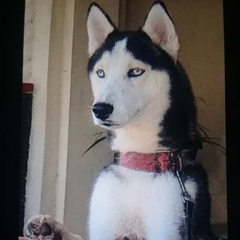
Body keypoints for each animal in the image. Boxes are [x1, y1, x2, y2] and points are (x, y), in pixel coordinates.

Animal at [24, 1, 223, 240]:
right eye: (101, 73)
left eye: (136, 71)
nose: (100, 109)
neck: (140, 165)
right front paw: (52, 228)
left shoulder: (171, 222)